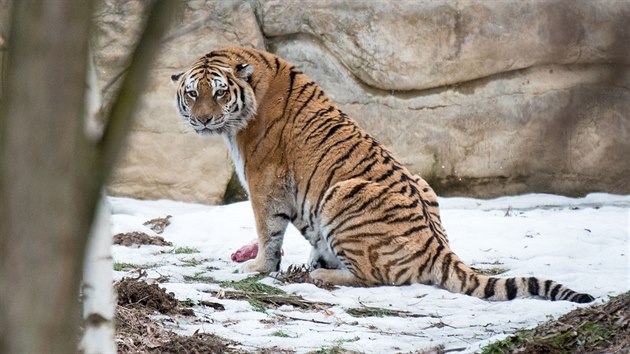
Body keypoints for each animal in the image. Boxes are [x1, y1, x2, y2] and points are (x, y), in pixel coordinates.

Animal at [172, 45, 596, 302]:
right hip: (421, 185)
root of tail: (437, 247)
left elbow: (268, 230)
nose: (203, 119)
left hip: (342, 193)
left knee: (377, 277)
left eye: (220, 92)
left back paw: (321, 277)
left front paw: (258, 267)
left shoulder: (265, 182)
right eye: (193, 93)